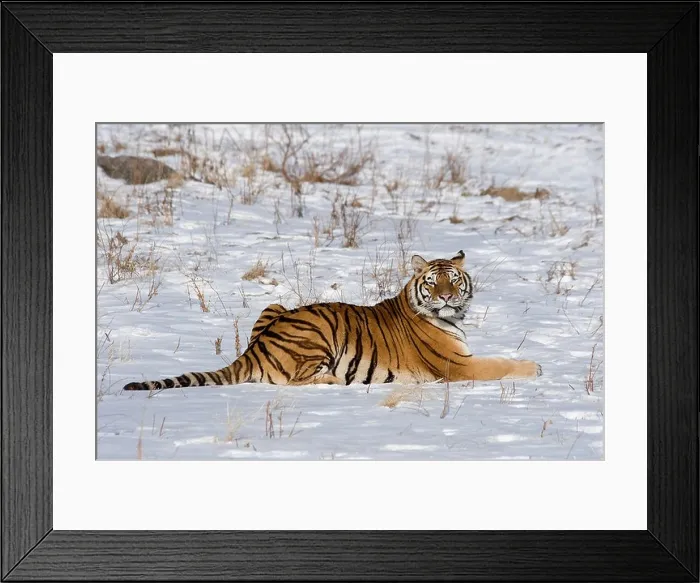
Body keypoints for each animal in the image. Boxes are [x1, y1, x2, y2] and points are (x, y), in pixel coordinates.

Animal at [123, 250, 541, 391]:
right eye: (433, 282)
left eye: (453, 280)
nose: (446, 297)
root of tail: (254, 350)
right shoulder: (458, 366)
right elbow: (499, 363)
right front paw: (536, 367)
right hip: (318, 333)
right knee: (294, 382)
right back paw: (336, 381)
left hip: (274, 304)